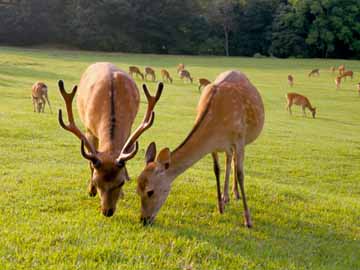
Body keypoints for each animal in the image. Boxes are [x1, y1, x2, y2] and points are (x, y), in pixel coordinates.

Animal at [58, 62, 163, 217]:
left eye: (121, 183)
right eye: (96, 182)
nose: (107, 211)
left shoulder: (128, 128)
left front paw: (123, 193)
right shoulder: (89, 130)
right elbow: (91, 163)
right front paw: (91, 191)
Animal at [137, 70, 264, 227]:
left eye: (150, 191)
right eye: (137, 190)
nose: (143, 220)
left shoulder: (239, 139)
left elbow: (241, 174)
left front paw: (248, 220)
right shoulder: (213, 146)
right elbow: (216, 170)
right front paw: (220, 207)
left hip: (243, 139)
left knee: (235, 162)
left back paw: (235, 194)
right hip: (228, 147)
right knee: (229, 159)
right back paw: (226, 197)